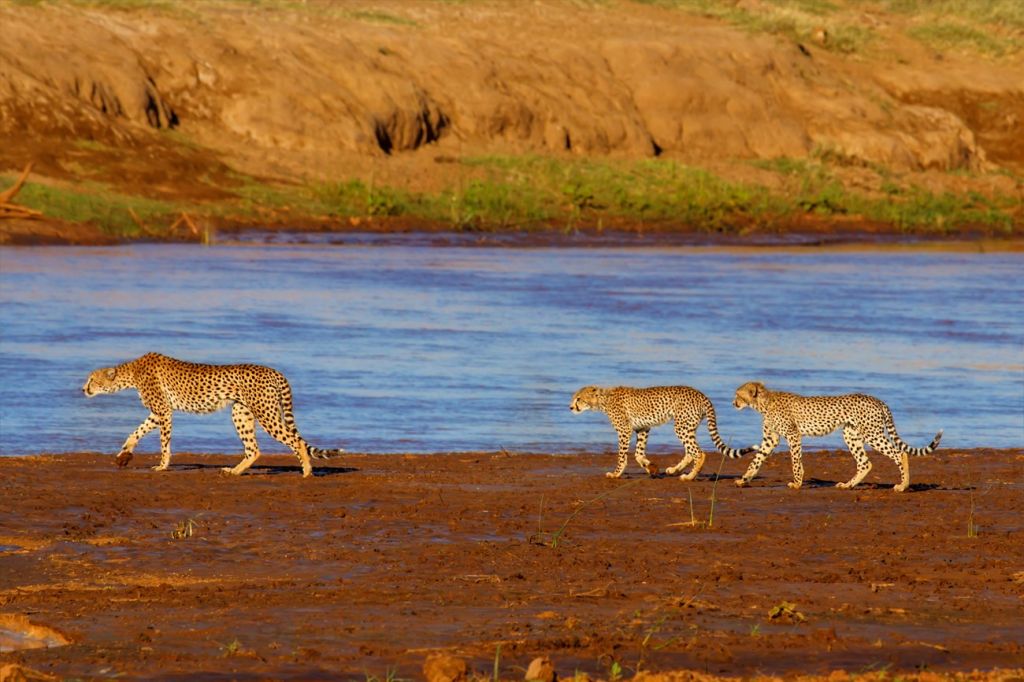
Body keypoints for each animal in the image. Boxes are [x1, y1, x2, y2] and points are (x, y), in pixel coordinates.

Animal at [80, 352, 344, 475]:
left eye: (92, 379)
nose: (83, 389)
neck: (131, 372)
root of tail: (274, 371)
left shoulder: (164, 411)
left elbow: (164, 443)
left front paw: (163, 465)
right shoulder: (158, 412)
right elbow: (137, 431)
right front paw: (124, 453)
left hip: (265, 413)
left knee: (295, 440)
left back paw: (307, 470)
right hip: (241, 412)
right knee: (254, 449)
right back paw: (234, 471)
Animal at [569, 382, 753, 477]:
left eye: (578, 399)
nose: (570, 407)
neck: (603, 399)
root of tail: (700, 394)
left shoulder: (624, 430)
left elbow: (623, 455)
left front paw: (616, 473)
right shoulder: (643, 428)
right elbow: (638, 454)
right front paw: (651, 468)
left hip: (681, 427)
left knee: (699, 453)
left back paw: (690, 476)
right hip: (687, 427)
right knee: (690, 452)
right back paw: (675, 470)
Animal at [733, 378, 937, 491]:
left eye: (738, 394)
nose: (733, 403)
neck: (764, 403)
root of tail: (876, 399)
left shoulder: (793, 435)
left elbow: (795, 462)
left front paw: (797, 483)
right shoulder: (771, 439)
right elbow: (756, 459)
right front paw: (744, 479)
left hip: (872, 434)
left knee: (899, 453)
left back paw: (903, 486)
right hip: (851, 435)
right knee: (865, 463)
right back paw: (848, 485)